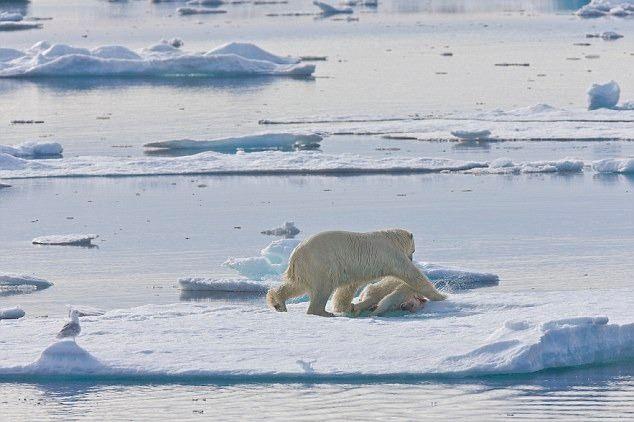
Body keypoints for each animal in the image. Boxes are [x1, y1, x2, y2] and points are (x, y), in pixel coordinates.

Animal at [266, 231, 444, 316]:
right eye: (413, 250)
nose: (412, 258)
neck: (392, 238)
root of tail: (295, 255)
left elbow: (348, 287)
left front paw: (345, 306)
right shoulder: (390, 254)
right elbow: (411, 274)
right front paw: (441, 296)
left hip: (307, 268)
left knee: (298, 285)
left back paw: (277, 302)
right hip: (321, 263)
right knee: (322, 288)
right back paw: (323, 312)